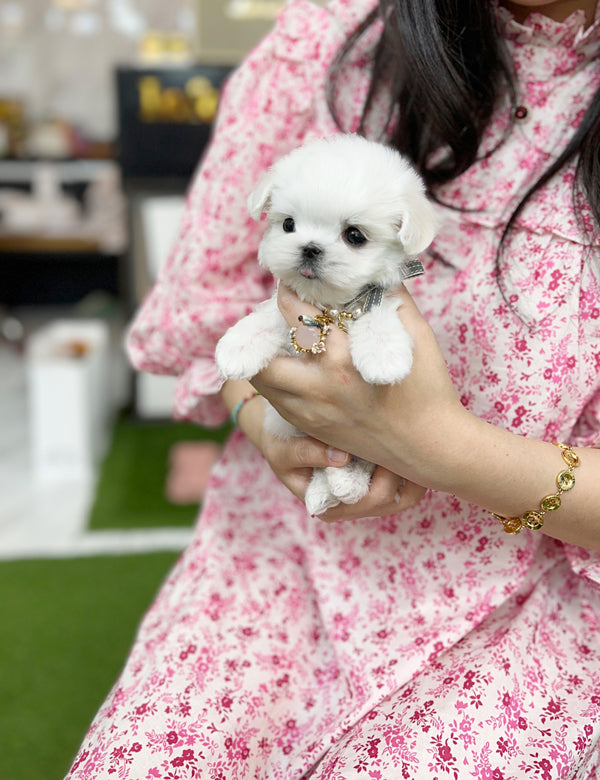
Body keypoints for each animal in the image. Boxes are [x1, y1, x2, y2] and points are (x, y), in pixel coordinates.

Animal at [217, 136, 436, 516]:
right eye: (288, 224)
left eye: (354, 235)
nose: (309, 248)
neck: (332, 308)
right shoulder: (290, 308)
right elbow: (266, 318)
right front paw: (238, 347)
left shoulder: (377, 301)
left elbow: (377, 319)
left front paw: (383, 357)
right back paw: (329, 487)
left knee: (360, 461)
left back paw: (344, 482)